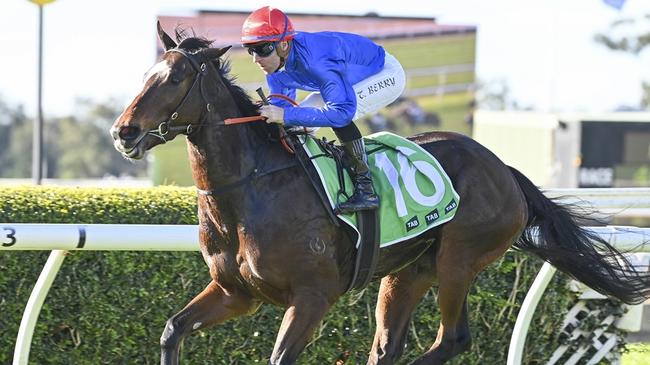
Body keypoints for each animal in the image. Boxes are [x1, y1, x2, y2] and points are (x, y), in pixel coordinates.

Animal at [109, 24, 644, 362]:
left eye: (176, 78)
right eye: (145, 76)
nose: (123, 132)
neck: (250, 192)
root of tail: (506, 170)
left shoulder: (313, 296)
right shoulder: (236, 293)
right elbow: (173, 330)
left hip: (459, 259)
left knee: (453, 339)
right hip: (407, 271)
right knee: (389, 347)